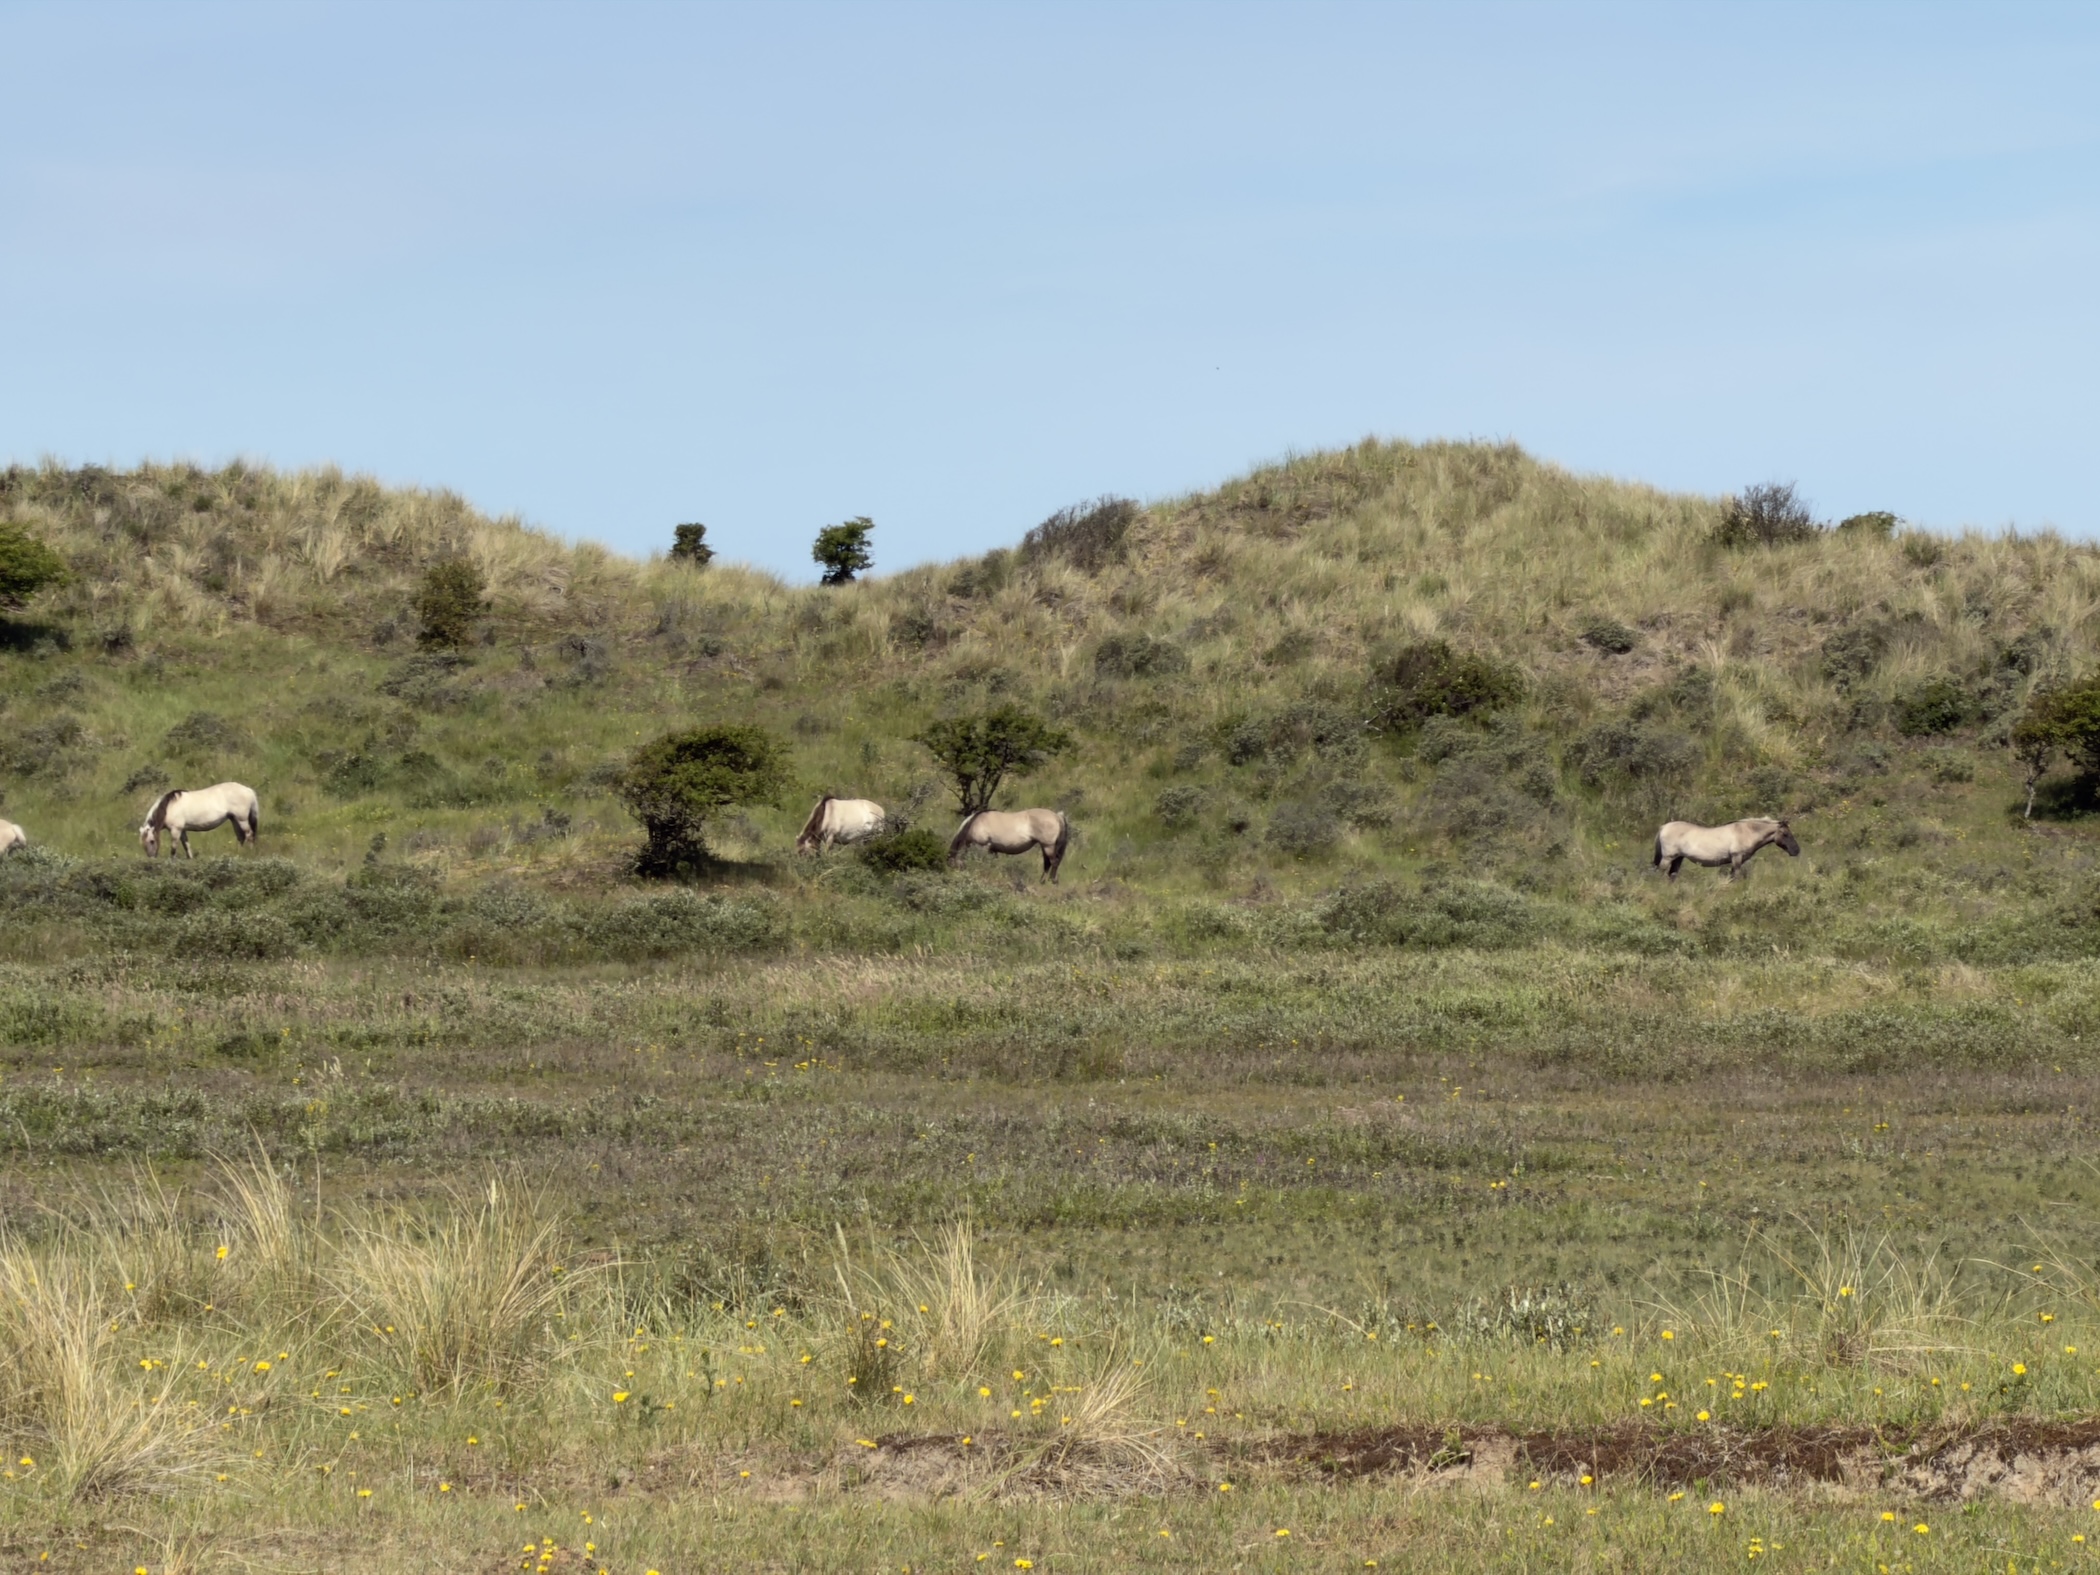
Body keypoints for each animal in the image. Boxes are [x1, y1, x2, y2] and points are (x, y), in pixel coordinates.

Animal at [1654, 817, 1798, 881]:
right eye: (1785, 834)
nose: (1797, 850)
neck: (1746, 832)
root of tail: (1664, 827)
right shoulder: (1737, 858)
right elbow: (1736, 876)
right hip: (1668, 858)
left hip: (1678, 858)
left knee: (1672, 875)